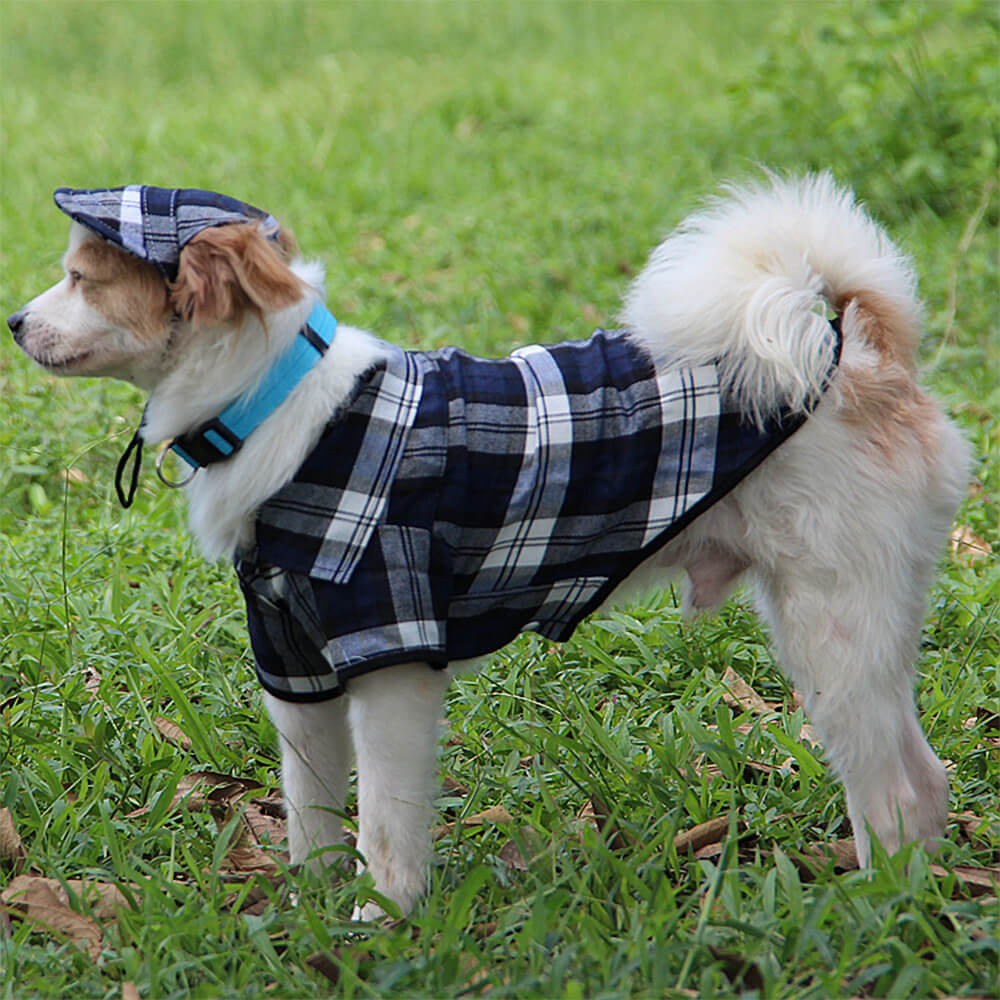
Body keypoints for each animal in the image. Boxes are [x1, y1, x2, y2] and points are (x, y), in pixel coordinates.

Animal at [7, 176, 968, 916]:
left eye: (81, 279)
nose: (14, 322)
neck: (278, 404)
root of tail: (859, 356)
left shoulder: (391, 657)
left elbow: (386, 825)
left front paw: (379, 925)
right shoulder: (297, 667)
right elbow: (313, 814)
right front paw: (310, 913)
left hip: (832, 627)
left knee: (892, 792)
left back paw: (875, 911)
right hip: (855, 628)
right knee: (925, 780)